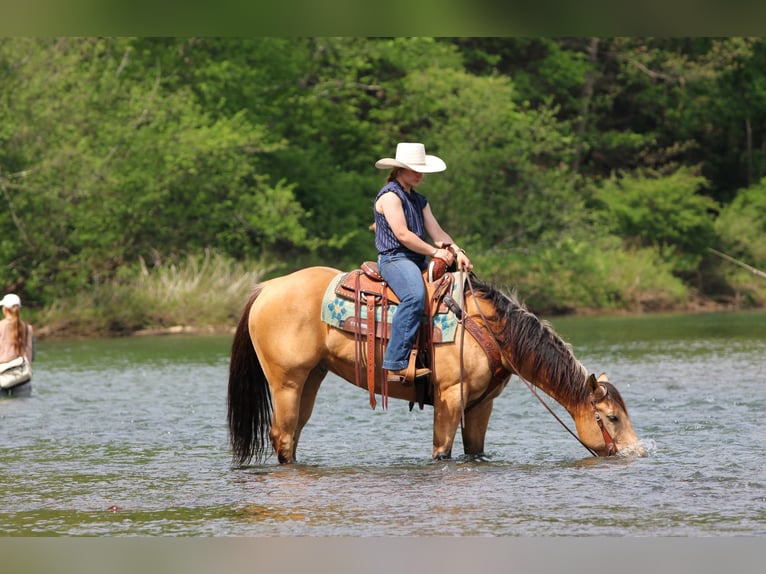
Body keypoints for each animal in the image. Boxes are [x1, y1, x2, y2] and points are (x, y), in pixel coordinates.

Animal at [227, 266, 643, 465]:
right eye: (612, 417)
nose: (637, 454)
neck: (489, 329)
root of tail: (267, 288)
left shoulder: (481, 404)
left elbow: (474, 451)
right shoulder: (450, 395)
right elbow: (441, 450)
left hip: (311, 378)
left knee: (293, 434)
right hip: (286, 382)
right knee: (281, 435)